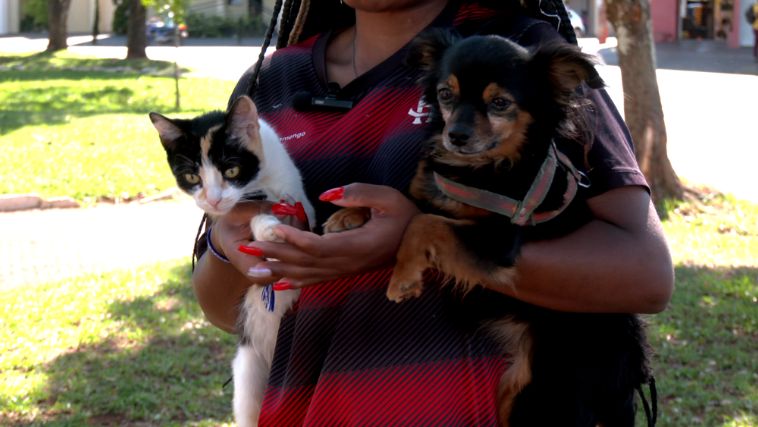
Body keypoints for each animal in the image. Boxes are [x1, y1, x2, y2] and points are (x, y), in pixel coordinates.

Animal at [148, 97, 314, 427]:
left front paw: (273, 225)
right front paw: (266, 227)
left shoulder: (303, 206)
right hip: (248, 372)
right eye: (192, 177)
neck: (258, 186)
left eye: (232, 169)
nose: (212, 199)